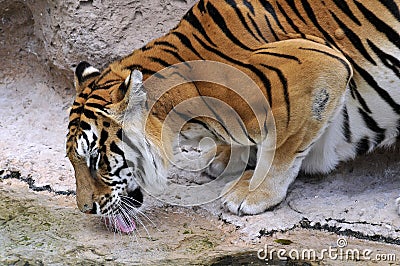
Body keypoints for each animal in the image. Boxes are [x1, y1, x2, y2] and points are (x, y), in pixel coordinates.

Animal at [66, 0, 400, 230]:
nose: (84, 208)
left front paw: (252, 193)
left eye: (95, 160)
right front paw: (227, 158)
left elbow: (281, 145)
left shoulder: (320, 67)